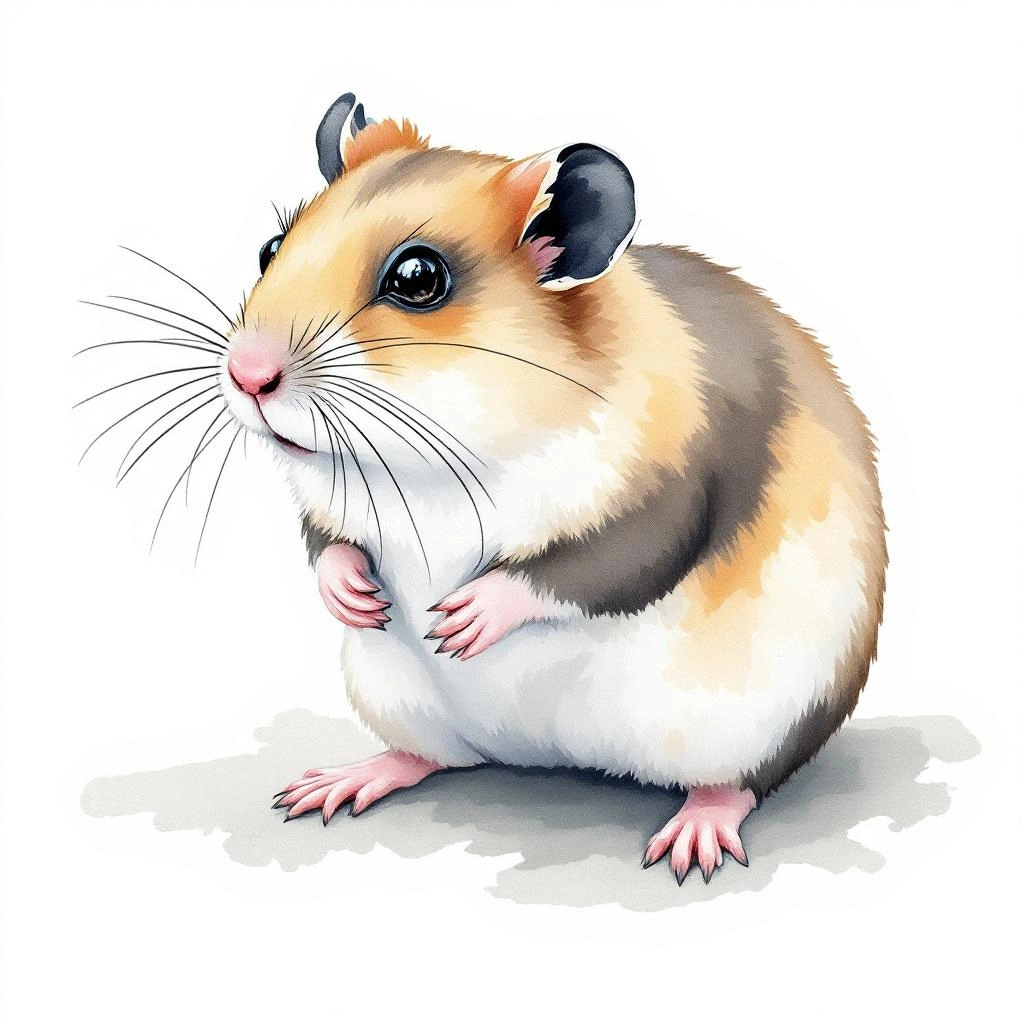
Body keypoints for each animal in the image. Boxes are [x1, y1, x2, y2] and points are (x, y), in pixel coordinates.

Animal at [220, 92, 886, 884]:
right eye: (270, 247)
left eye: (416, 279)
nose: (247, 376)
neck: (434, 455)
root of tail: (547, 754)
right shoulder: (332, 504)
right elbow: (327, 542)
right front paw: (358, 599)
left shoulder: (666, 498)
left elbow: (592, 564)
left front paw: (457, 623)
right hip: (396, 699)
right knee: (430, 757)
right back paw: (334, 786)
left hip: (755, 719)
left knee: (738, 783)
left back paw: (692, 842)